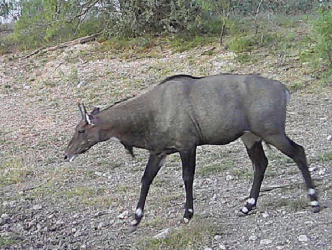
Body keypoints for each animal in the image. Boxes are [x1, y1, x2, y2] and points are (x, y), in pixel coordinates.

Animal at [63, 73, 320, 229]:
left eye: (81, 130)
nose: (66, 154)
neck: (152, 112)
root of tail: (283, 89)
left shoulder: (187, 146)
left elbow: (187, 177)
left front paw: (187, 214)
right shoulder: (159, 152)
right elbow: (146, 179)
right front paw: (136, 218)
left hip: (272, 132)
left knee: (298, 152)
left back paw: (314, 201)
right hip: (250, 137)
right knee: (261, 164)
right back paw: (246, 206)